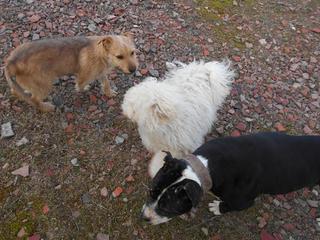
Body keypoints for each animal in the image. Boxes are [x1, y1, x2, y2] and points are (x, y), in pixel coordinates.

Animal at [4, 33, 138, 112]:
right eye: (119, 56)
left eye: (133, 52)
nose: (133, 70)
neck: (100, 52)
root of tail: (11, 62)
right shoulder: (84, 75)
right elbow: (81, 84)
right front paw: (82, 89)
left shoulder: (101, 72)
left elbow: (106, 83)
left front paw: (109, 93)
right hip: (45, 85)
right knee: (35, 100)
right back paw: (46, 107)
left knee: (15, 91)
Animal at [142, 132, 320, 224]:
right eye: (150, 192)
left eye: (167, 208)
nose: (144, 217)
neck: (207, 167)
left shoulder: (242, 202)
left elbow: (229, 206)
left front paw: (218, 208)